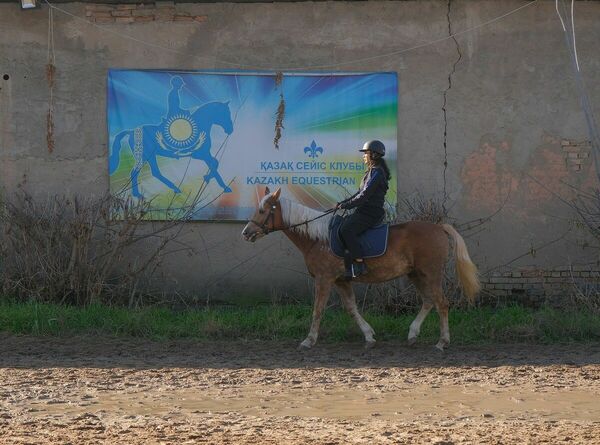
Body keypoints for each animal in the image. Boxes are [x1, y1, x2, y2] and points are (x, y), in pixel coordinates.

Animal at [241, 186, 480, 348]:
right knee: (429, 301)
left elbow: (318, 309)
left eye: (262, 211)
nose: (246, 232)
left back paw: (442, 342)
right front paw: (369, 336)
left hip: (431, 274)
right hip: (416, 274)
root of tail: (438, 228)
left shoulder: (324, 279)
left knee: (442, 303)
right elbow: (351, 309)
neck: (318, 238)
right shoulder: (341, 281)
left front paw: (308, 340)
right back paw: (413, 334)